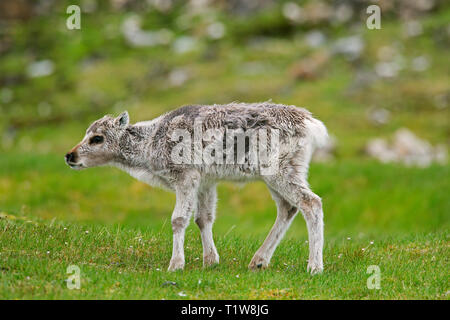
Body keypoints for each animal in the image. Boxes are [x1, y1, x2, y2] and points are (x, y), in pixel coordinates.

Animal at [66, 104, 326, 274]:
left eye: (97, 138)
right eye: (86, 133)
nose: (70, 155)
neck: (150, 144)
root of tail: (312, 124)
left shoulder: (186, 176)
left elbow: (179, 219)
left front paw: (176, 265)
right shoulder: (206, 181)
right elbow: (203, 218)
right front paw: (210, 260)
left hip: (279, 170)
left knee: (311, 202)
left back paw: (314, 266)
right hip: (279, 173)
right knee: (288, 207)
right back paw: (259, 261)